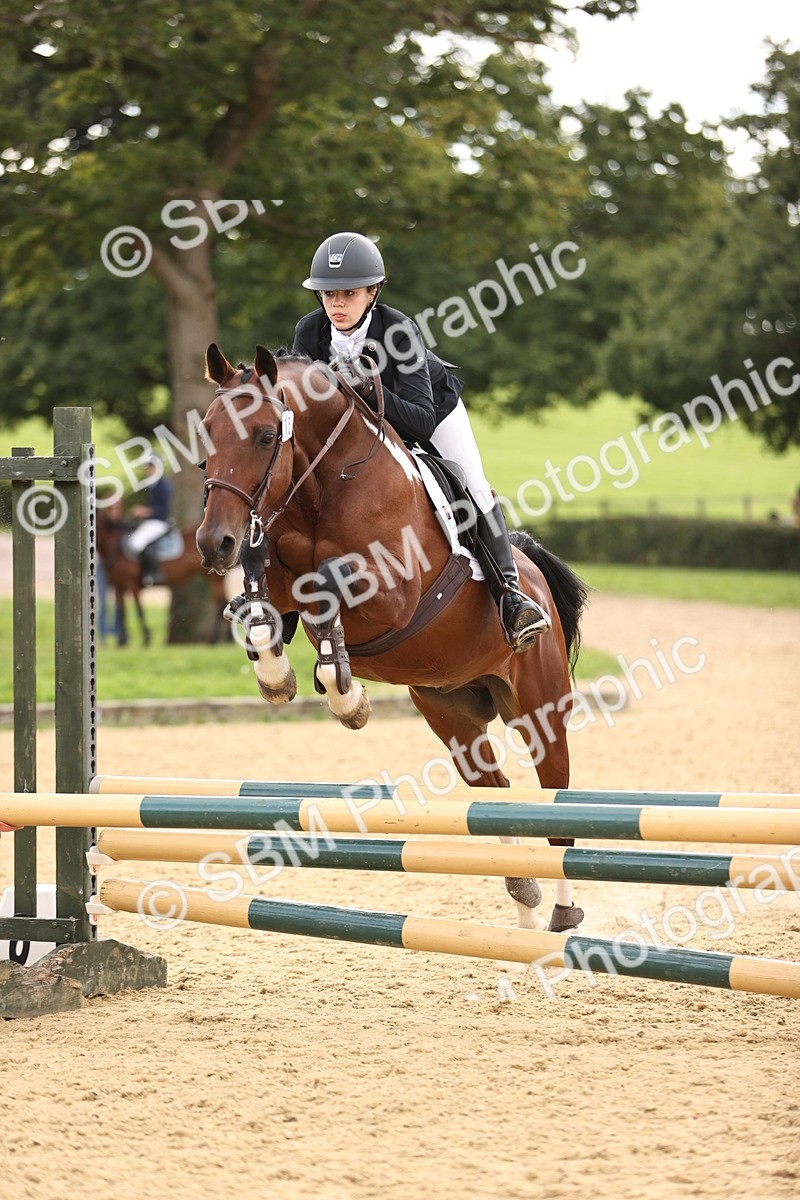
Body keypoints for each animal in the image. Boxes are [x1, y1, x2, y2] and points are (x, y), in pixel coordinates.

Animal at [96, 514, 228, 646]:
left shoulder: (132, 585)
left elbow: (139, 610)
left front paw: (146, 638)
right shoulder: (119, 585)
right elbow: (121, 611)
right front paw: (122, 641)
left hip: (214, 578)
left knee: (220, 603)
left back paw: (214, 639)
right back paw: (222, 639)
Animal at [196, 344, 589, 935]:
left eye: (266, 436)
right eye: (207, 433)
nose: (213, 542)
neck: (323, 485)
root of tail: (532, 569)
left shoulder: (392, 598)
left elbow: (325, 587)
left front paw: (347, 697)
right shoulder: (277, 574)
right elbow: (265, 605)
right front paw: (282, 677)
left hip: (539, 707)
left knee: (554, 795)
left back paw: (563, 915)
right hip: (452, 716)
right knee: (493, 793)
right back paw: (524, 900)